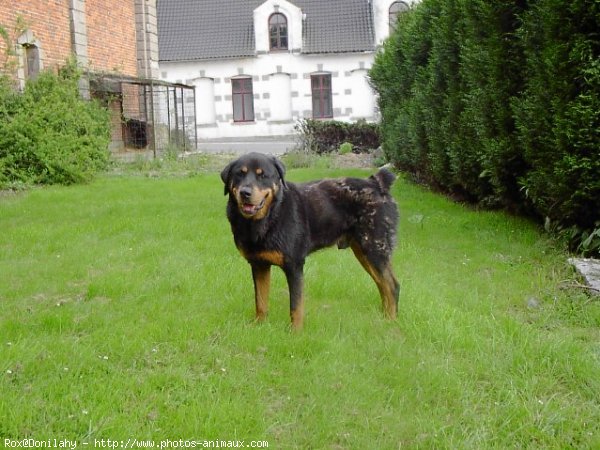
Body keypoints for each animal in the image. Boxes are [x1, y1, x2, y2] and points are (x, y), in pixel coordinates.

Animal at [220, 153, 398, 328]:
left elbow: (296, 306)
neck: (270, 216)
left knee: (392, 286)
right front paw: (259, 325)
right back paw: (383, 318)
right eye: (239, 174)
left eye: (262, 175)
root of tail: (377, 183)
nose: (245, 192)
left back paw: (391, 322)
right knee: (382, 284)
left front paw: (295, 332)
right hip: (364, 252)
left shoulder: (294, 265)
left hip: (375, 248)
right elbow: (261, 301)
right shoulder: (259, 264)